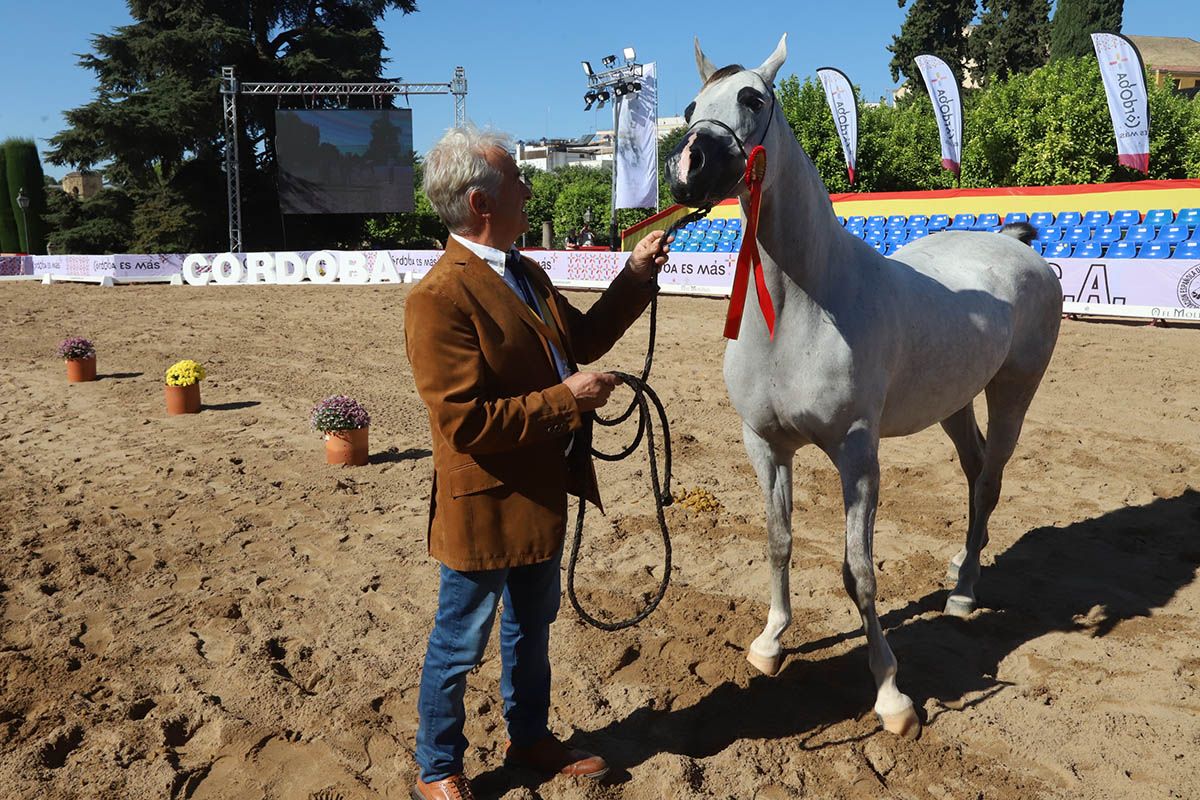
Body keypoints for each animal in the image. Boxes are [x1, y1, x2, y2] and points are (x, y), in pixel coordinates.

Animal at [667, 37, 1060, 738]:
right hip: (954, 403)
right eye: (689, 108)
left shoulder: (856, 454)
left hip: (1014, 393)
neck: (803, 303)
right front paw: (770, 643)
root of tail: (1019, 247)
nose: (689, 165)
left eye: (753, 99)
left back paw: (964, 593)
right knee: (974, 471)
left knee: (990, 480)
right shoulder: (765, 445)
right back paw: (960, 568)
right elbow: (779, 541)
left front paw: (891, 697)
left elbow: (860, 574)